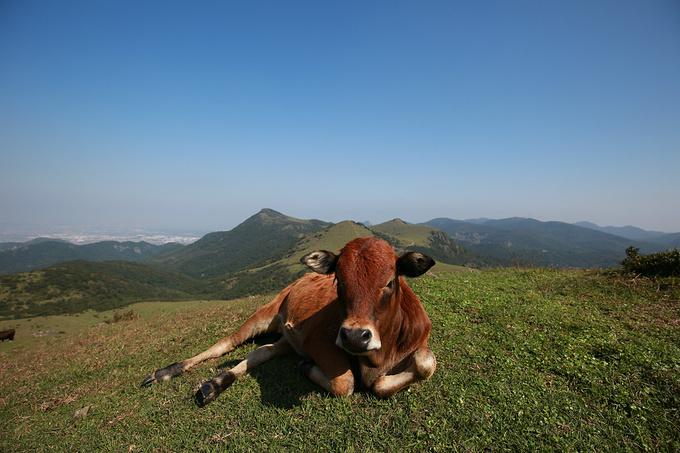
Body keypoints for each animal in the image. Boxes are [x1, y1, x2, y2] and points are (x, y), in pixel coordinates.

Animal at [141, 237, 436, 402]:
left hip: (287, 339)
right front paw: (307, 368)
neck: (377, 357)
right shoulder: (318, 340)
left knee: (259, 353)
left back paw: (214, 385)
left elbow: (425, 363)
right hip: (266, 313)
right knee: (224, 345)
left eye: (390, 282)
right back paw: (165, 372)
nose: (355, 336)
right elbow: (345, 383)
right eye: (338, 281)